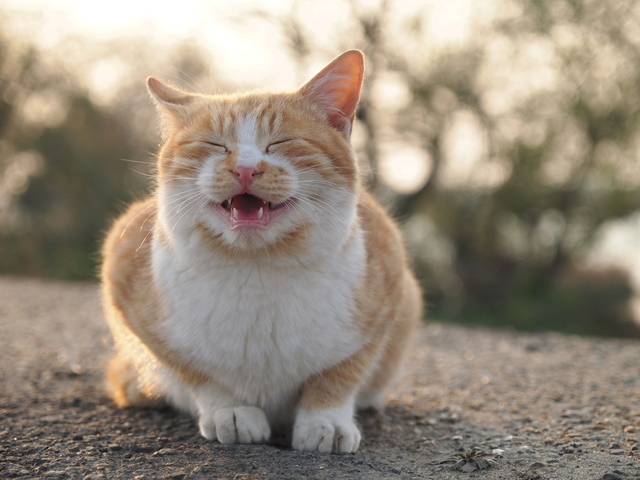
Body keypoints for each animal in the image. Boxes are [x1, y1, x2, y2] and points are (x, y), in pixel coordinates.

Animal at [102, 49, 422, 454]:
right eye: (214, 145)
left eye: (281, 143)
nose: (245, 169)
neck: (257, 269)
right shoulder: (124, 278)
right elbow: (199, 373)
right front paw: (231, 410)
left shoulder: (390, 291)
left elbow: (341, 373)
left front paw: (325, 420)